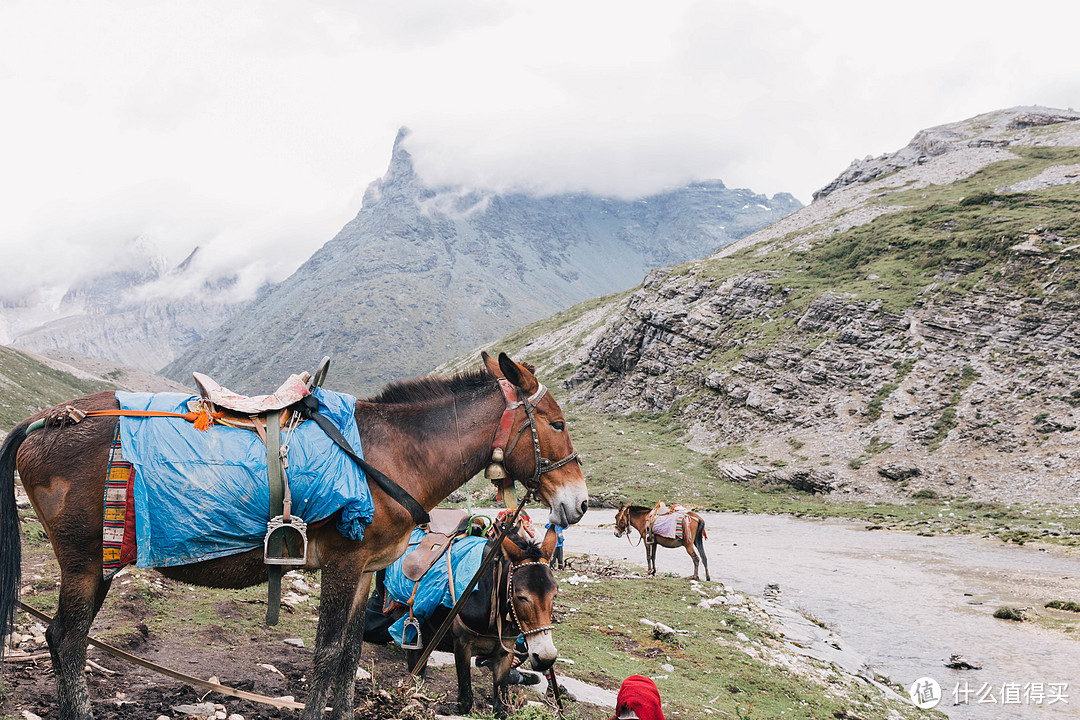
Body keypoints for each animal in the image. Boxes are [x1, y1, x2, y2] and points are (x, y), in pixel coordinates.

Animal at [2, 354, 591, 720]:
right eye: (557, 423)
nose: (580, 503)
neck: (386, 452)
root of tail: (47, 420)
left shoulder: (367, 572)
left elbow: (350, 656)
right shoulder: (344, 565)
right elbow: (327, 654)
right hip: (88, 564)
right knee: (66, 640)